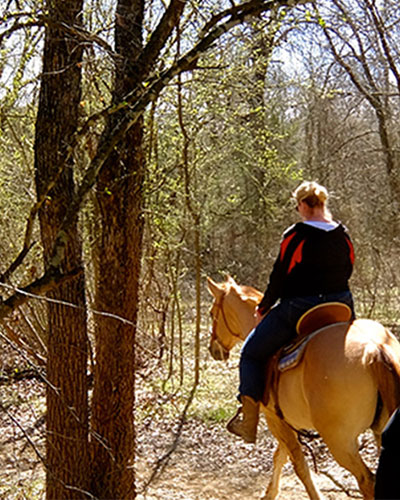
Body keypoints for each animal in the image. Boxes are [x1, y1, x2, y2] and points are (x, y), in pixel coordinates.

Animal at [206, 278, 400, 500]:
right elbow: (280, 456)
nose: (212, 349)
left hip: (340, 441)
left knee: (366, 480)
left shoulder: (274, 419)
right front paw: (269, 493)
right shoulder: (287, 422)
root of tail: (375, 348)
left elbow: (298, 464)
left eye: (212, 313)